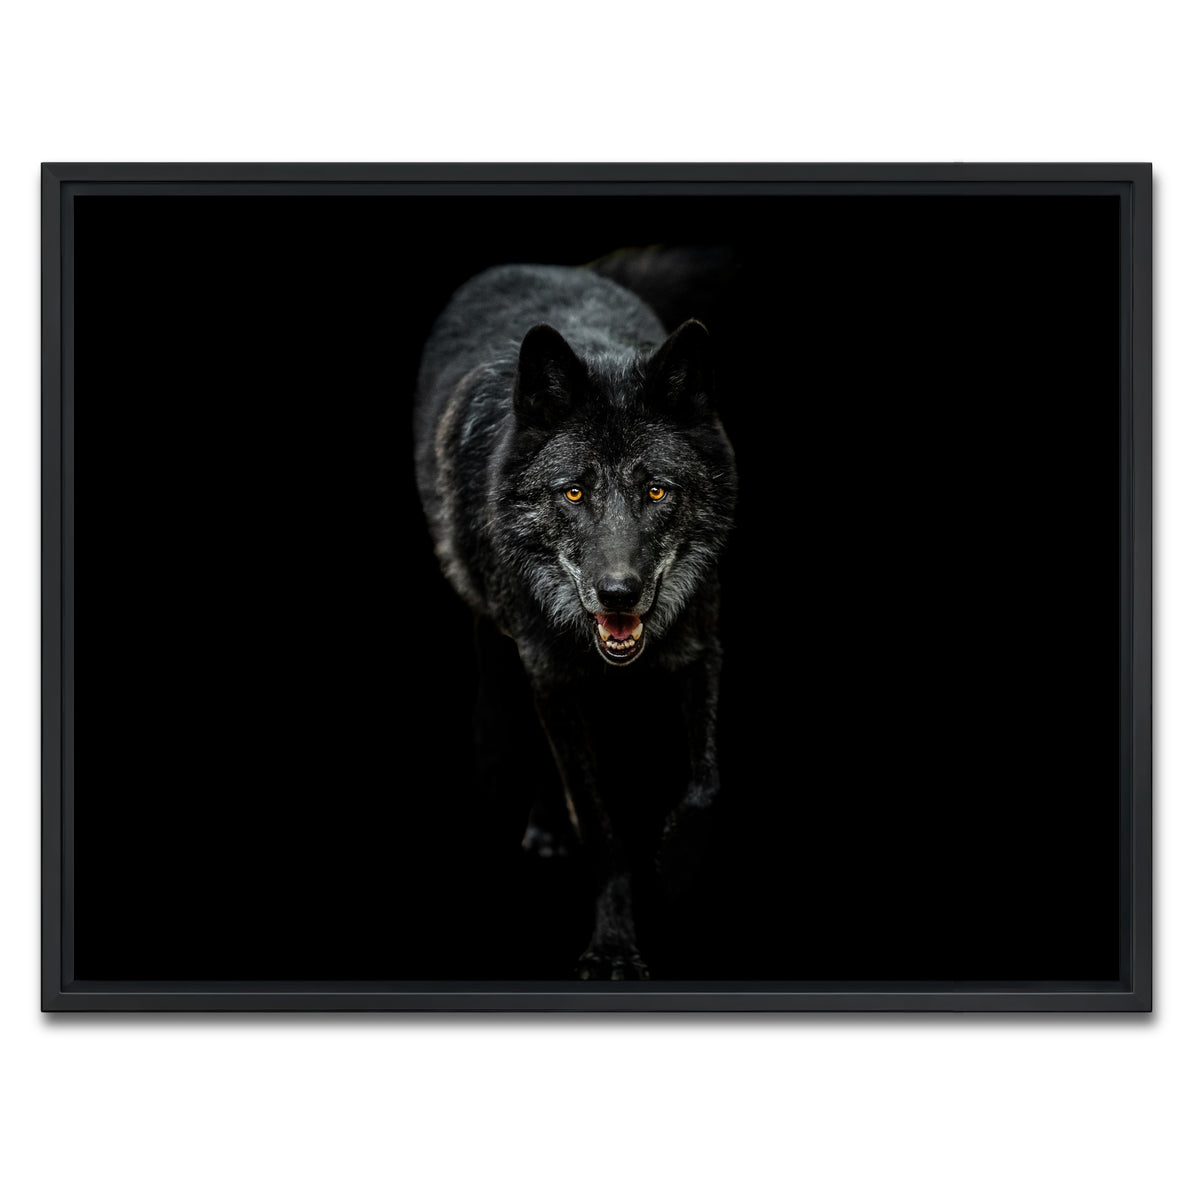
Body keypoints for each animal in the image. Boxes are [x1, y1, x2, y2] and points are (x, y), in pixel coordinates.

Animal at [414, 262, 737, 979]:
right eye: (574, 492)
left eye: (656, 490)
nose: (618, 593)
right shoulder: (551, 677)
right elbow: (598, 821)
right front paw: (614, 942)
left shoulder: (701, 648)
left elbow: (706, 785)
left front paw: (673, 874)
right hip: (499, 647)